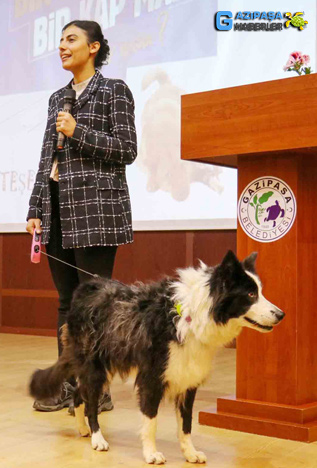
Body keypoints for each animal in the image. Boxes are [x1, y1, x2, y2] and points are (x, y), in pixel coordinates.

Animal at [29, 250, 282, 462]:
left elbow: (186, 424)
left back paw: (84, 429)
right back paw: (97, 437)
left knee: (80, 394)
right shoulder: (152, 377)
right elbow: (150, 421)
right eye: (250, 294)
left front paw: (190, 453)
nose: (281, 314)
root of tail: (84, 289)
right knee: (90, 401)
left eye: (260, 291)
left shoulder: (187, 378)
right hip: (94, 366)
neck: (191, 315)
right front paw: (151, 454)